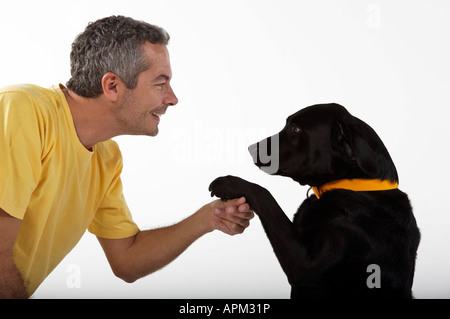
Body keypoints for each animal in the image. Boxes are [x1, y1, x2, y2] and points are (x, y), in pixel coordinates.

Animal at [209, 104, 420, 298]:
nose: (251, 148)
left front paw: (228, 183)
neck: (354, 186)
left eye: (295, 129)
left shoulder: (305, 265)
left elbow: (264, 194)